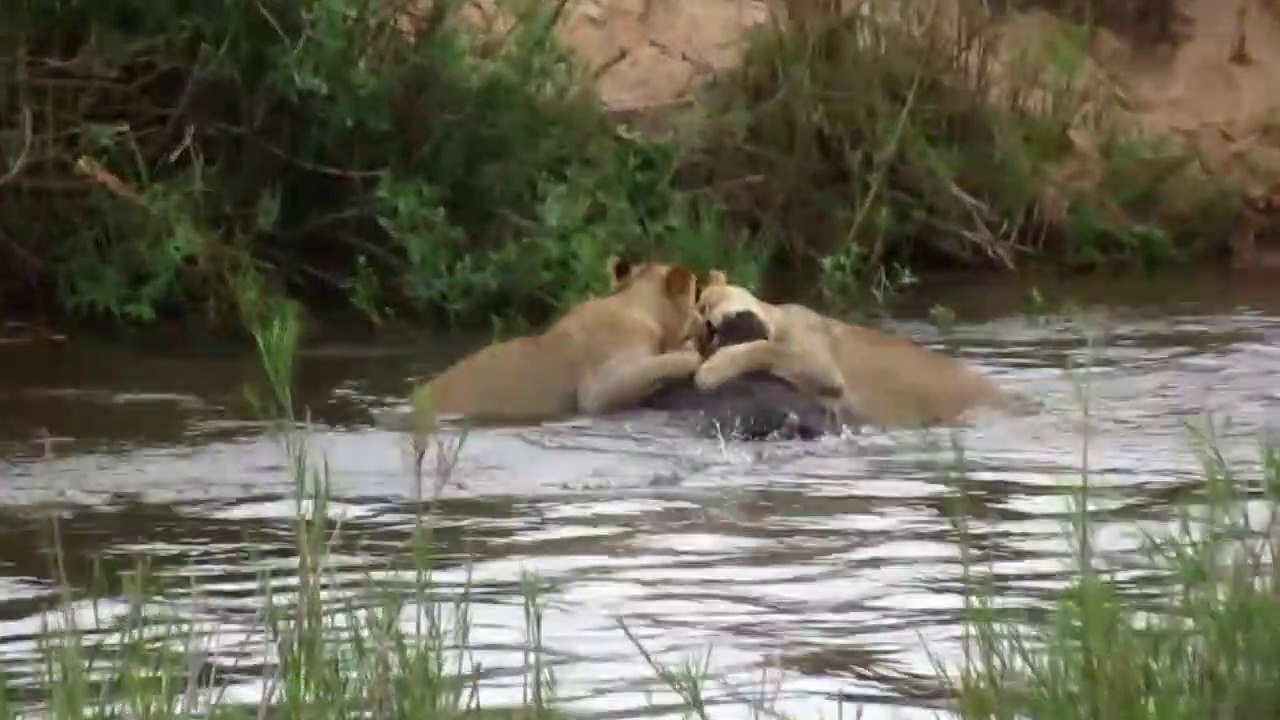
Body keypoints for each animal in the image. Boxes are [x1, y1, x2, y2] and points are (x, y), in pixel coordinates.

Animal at [411, 258, 704, 425]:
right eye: (696, 299)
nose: (705, 323)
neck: (634, 303)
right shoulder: (598, 389)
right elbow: (659, 363)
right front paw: (690, 353)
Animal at [692, 273, 1029, 429]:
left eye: (708, 302)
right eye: (702, 335)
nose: (710, 326)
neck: (779, 319)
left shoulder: (818, 361)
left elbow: (765, 349)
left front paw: (711, 371)